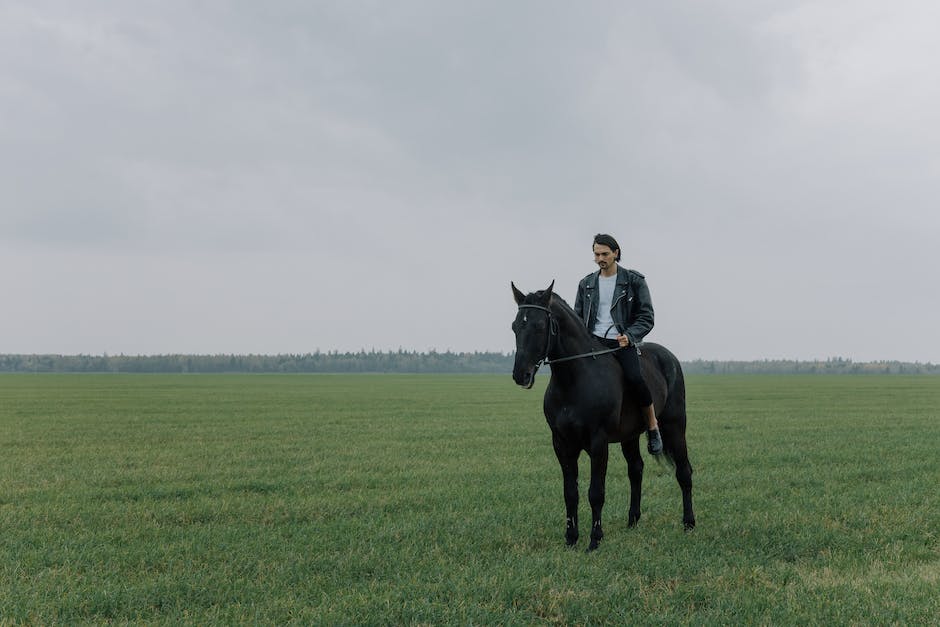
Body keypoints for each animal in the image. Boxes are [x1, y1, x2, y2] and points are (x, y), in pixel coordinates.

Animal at [510, 282, 692, 552]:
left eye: (540, 325)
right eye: (515, 326)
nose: (520, 374)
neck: (574, 379)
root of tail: (669, 357)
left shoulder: (598, 442)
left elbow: (596, 492)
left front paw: (594, 539)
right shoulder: (562, 444)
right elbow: (570, 493)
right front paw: (571, 538)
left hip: (675, 426)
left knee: (684, 471)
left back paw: (689, 523)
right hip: (630, 437)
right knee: (636, 469)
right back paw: (632, 521)